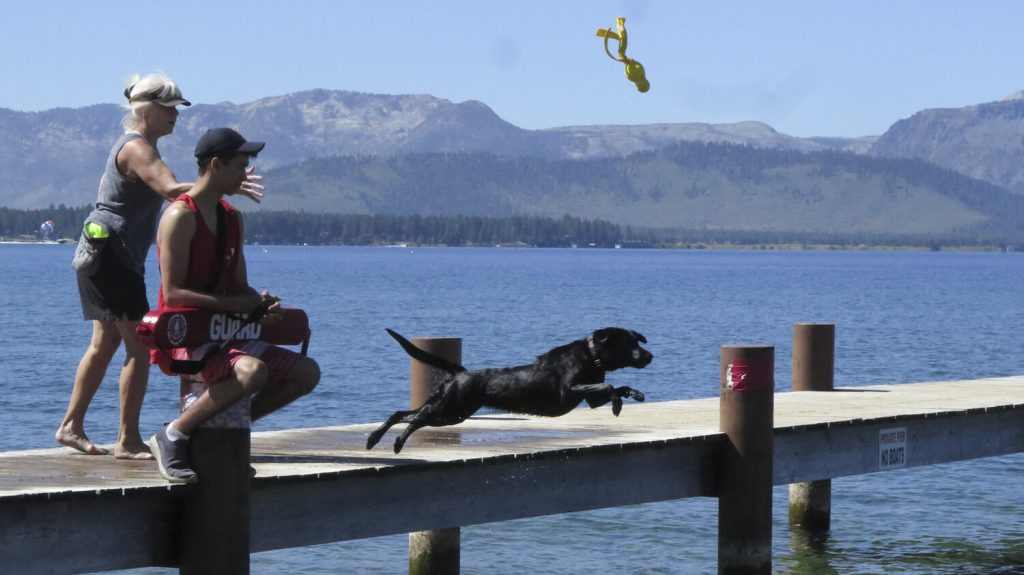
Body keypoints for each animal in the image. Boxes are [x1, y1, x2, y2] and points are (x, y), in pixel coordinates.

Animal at [368, 327, 655, 452]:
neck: (592, 356)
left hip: (449, 408)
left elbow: (616, 386)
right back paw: (393, 442)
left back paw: (376, 439)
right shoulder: (569, 390)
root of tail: (461, 373)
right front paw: (618, 405)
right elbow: (609, 385)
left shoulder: (591, 398)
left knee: (403, 414)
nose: (650, 356)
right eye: (630, 343)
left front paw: (635, 394)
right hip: (448, 410)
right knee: (412, 419)